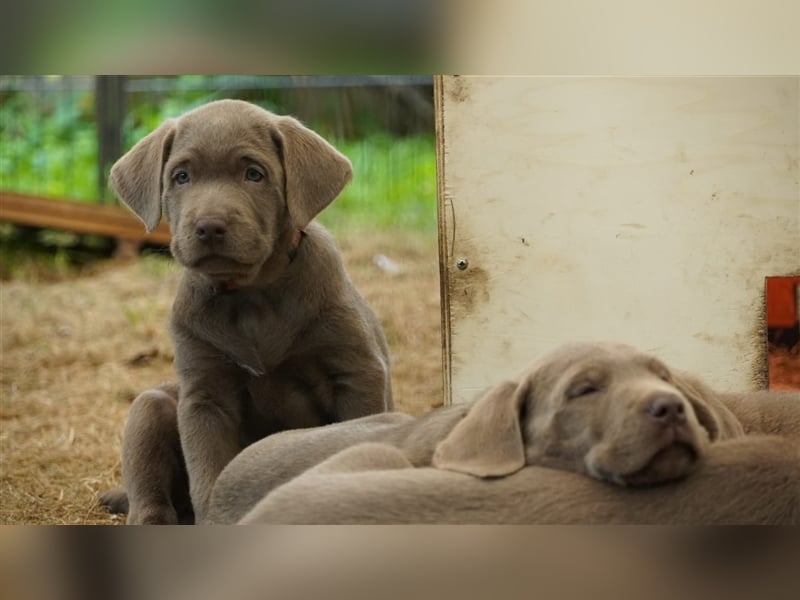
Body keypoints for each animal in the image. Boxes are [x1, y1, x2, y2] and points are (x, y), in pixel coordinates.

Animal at [100, 99, 394, 524]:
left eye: (254, 174)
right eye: (181, 176)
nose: (209, 227)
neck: (253, 294)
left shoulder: (358, 372)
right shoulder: (205, 395)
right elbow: (209, 473)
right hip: (150, 406)